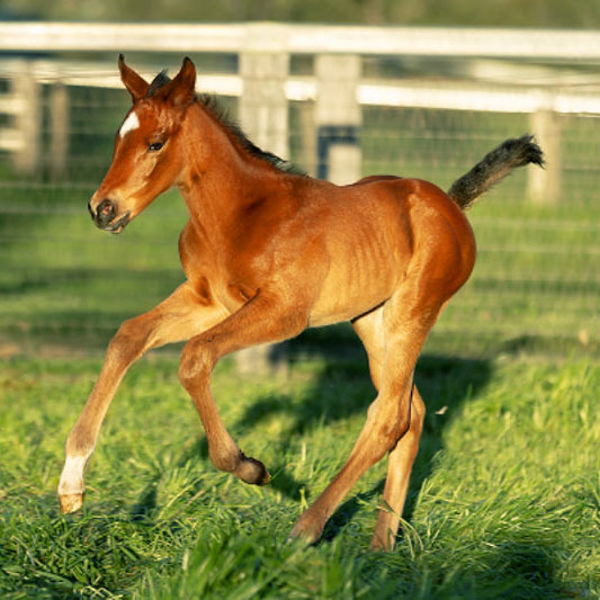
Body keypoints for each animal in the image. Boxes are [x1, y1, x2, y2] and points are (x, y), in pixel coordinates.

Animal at [57, 56, 544, 548]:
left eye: (156, 143)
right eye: (119, 139)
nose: (102, 209)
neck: (243, 213)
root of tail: (451, 204)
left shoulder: (284, 312)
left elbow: (195, 358)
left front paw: (248, 466)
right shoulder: (207, 299)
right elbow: (128, 336)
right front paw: (71, 485)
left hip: (412, 313)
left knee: (390, 416)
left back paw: (306, 529)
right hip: (370, 320)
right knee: (412, 411)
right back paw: (382, 544)